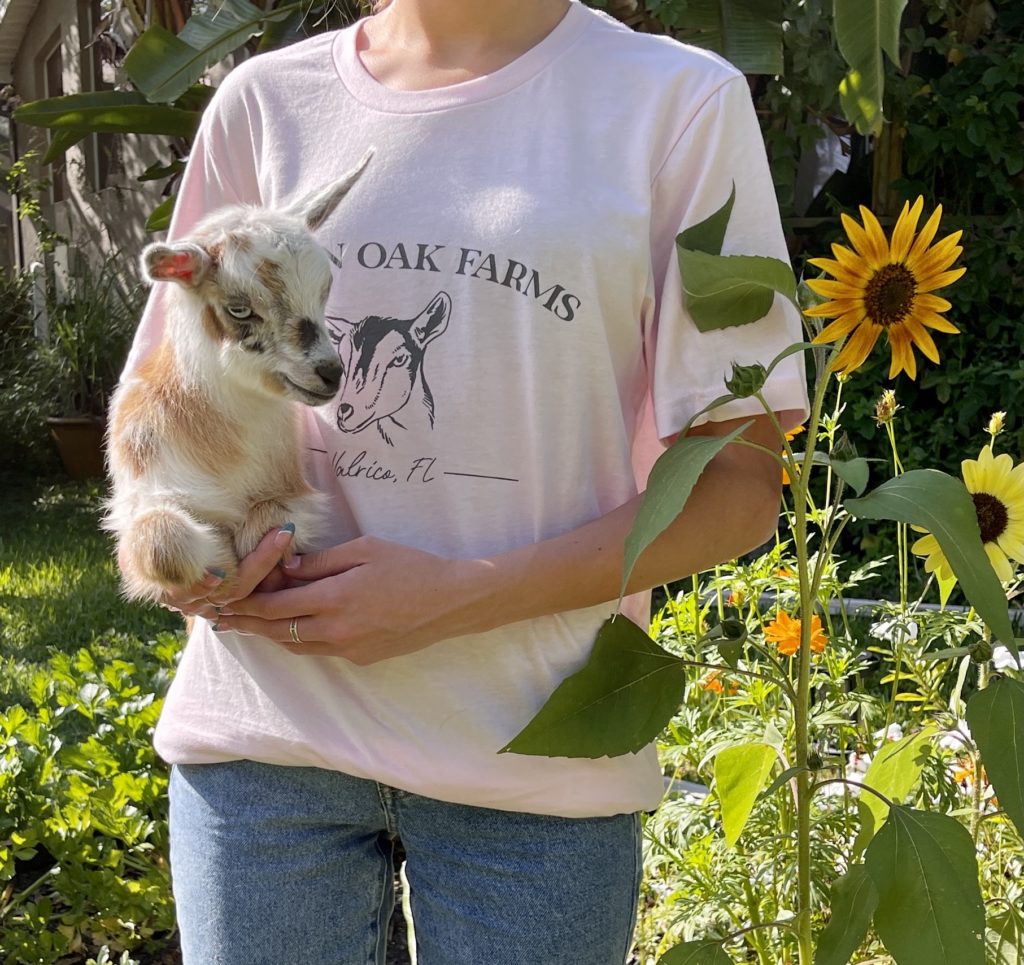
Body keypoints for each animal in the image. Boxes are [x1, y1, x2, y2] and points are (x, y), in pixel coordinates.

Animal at [105, 153, 370, 602]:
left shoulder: (292, 492)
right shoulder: (141, 494)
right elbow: (161, 544)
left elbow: (265, 526)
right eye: (239, 309)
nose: (330, 373)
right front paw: (220, 564)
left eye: (325, 289)